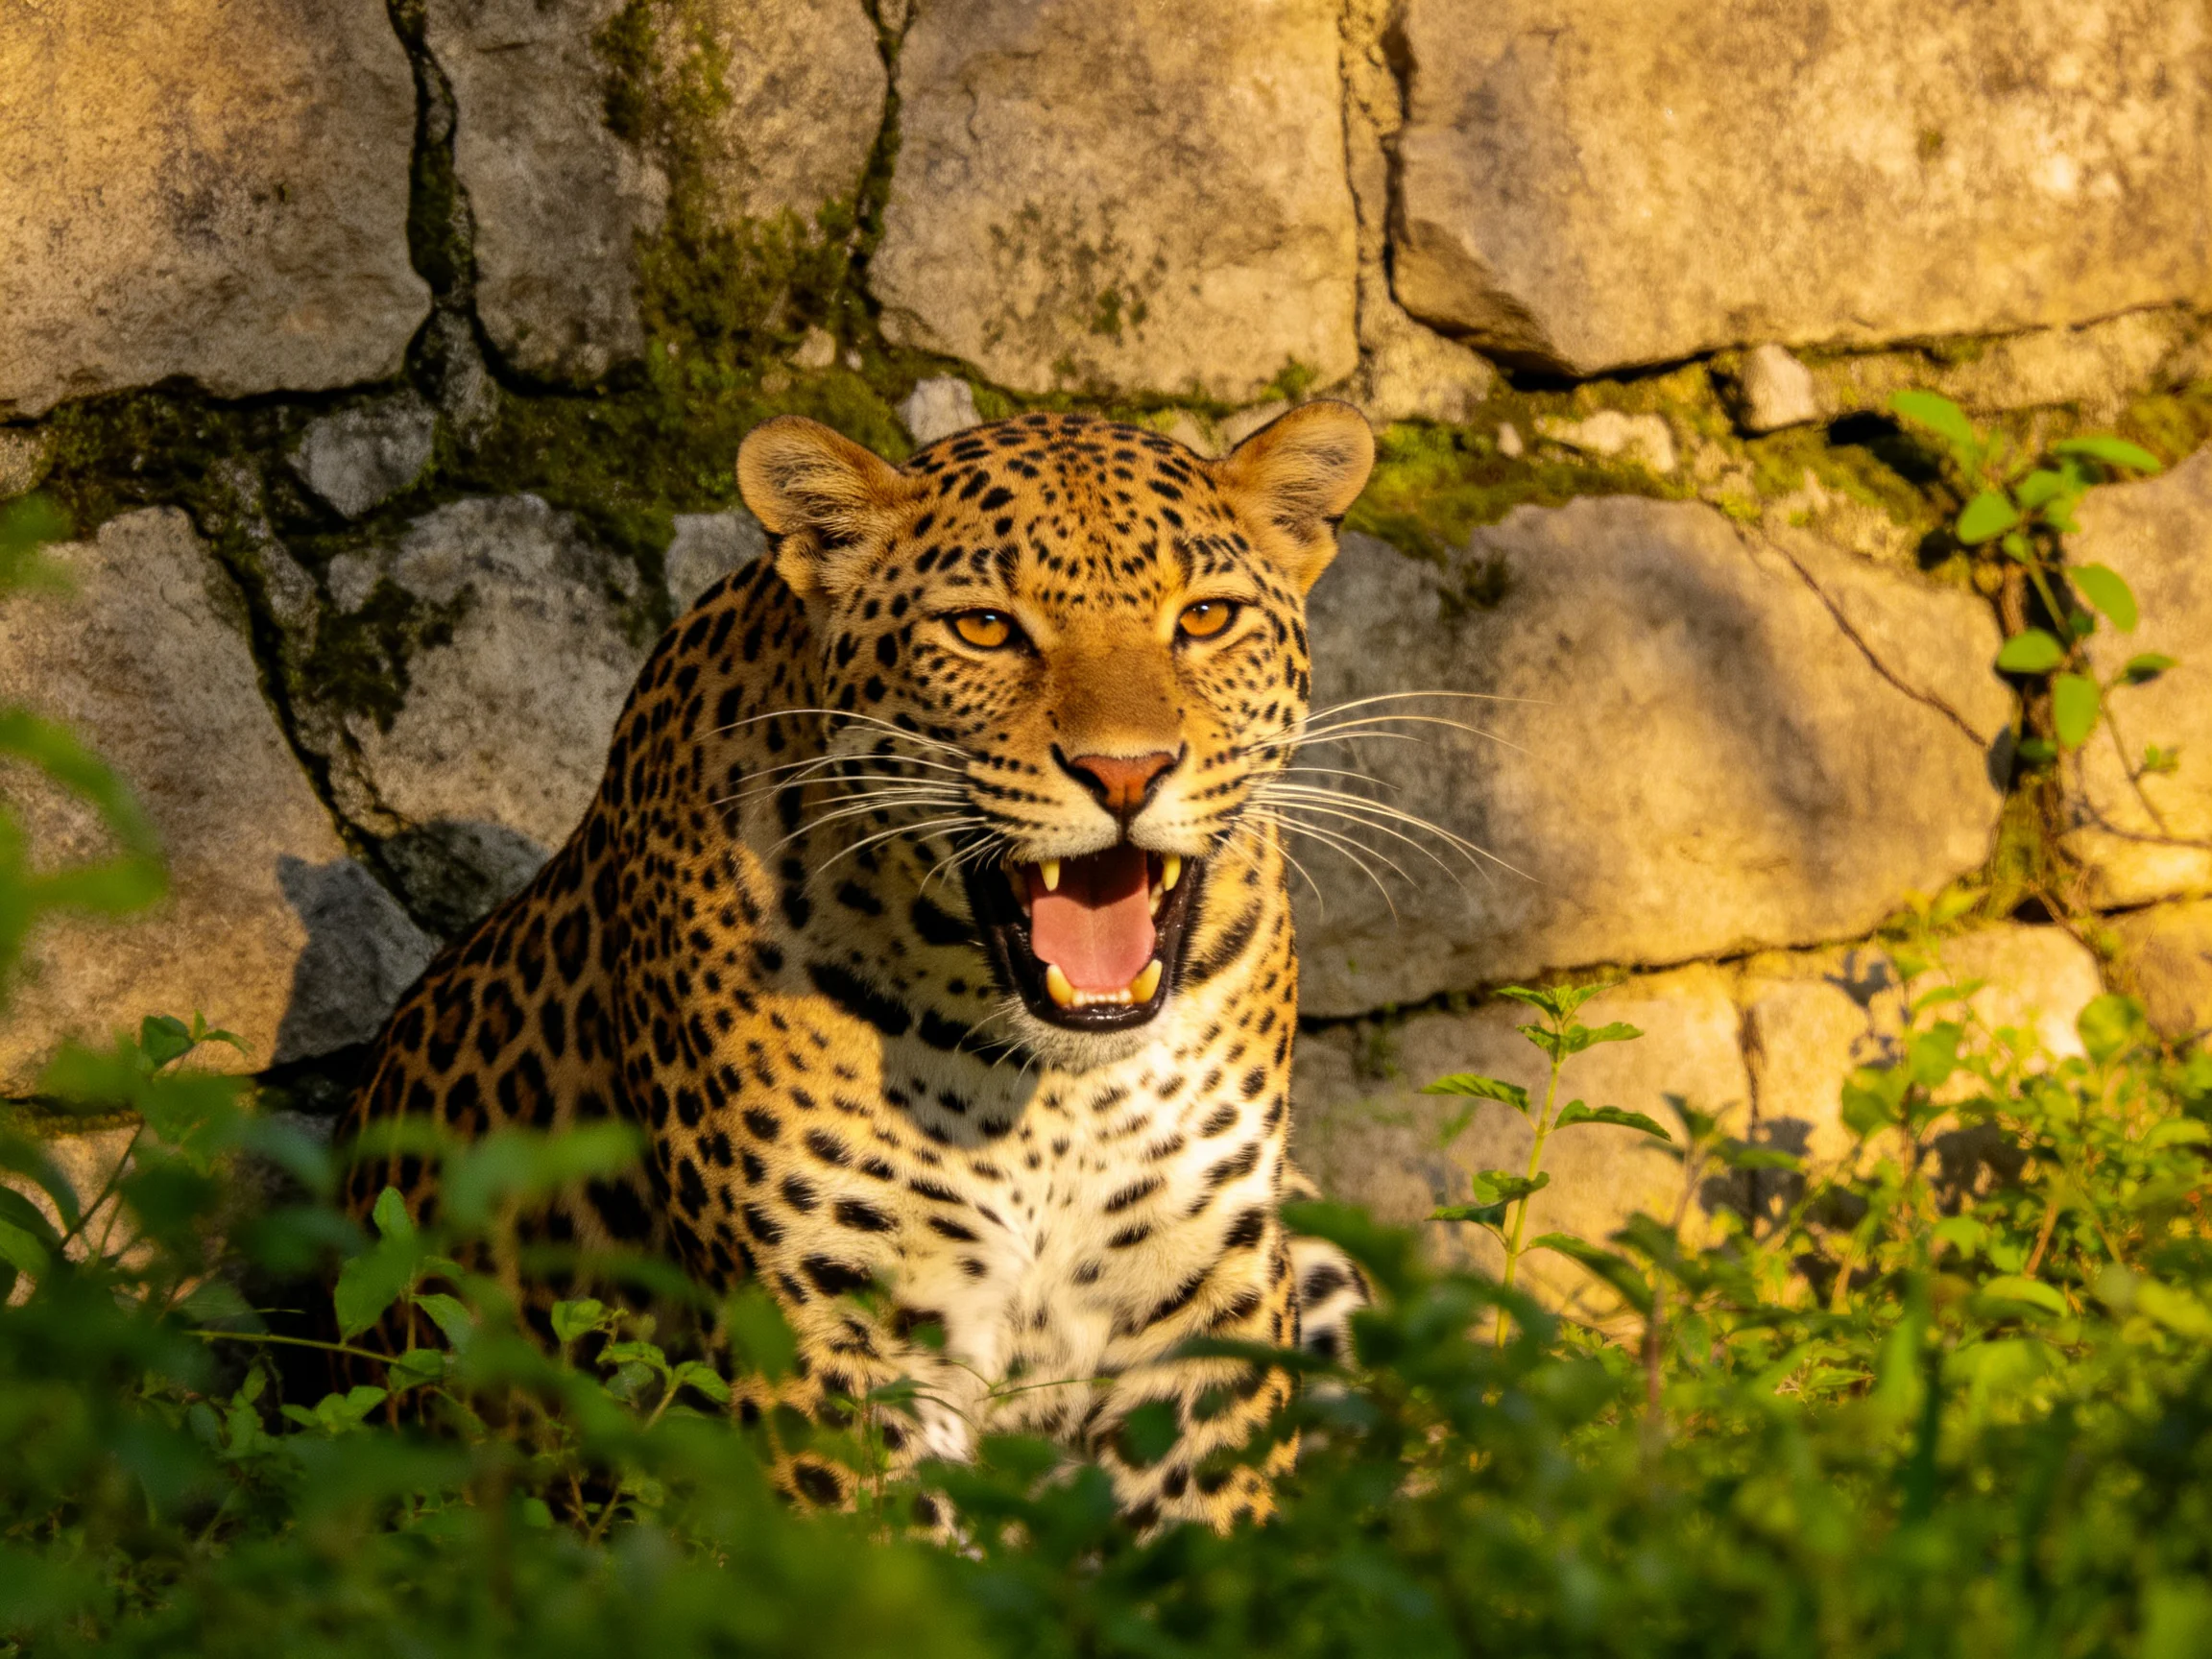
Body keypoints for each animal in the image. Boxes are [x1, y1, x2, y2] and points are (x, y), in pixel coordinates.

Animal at [336, 401, 1377, 1532]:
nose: (1125, 772)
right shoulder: (823, 1326)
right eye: (984, 629)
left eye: (1206, 619)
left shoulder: (1208, 1291)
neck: (1051, 1091)